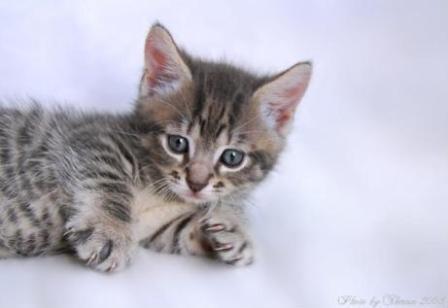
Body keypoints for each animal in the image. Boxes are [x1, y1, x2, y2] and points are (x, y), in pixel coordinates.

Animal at [0, 24, 312, 272]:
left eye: (232, 157)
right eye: (177, 143)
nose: (196, 183)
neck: (162, 193)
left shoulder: (158, 230)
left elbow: (182, 232)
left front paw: (234, 230)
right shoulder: (90, 138)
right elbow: (109, 179)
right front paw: (111, 229)